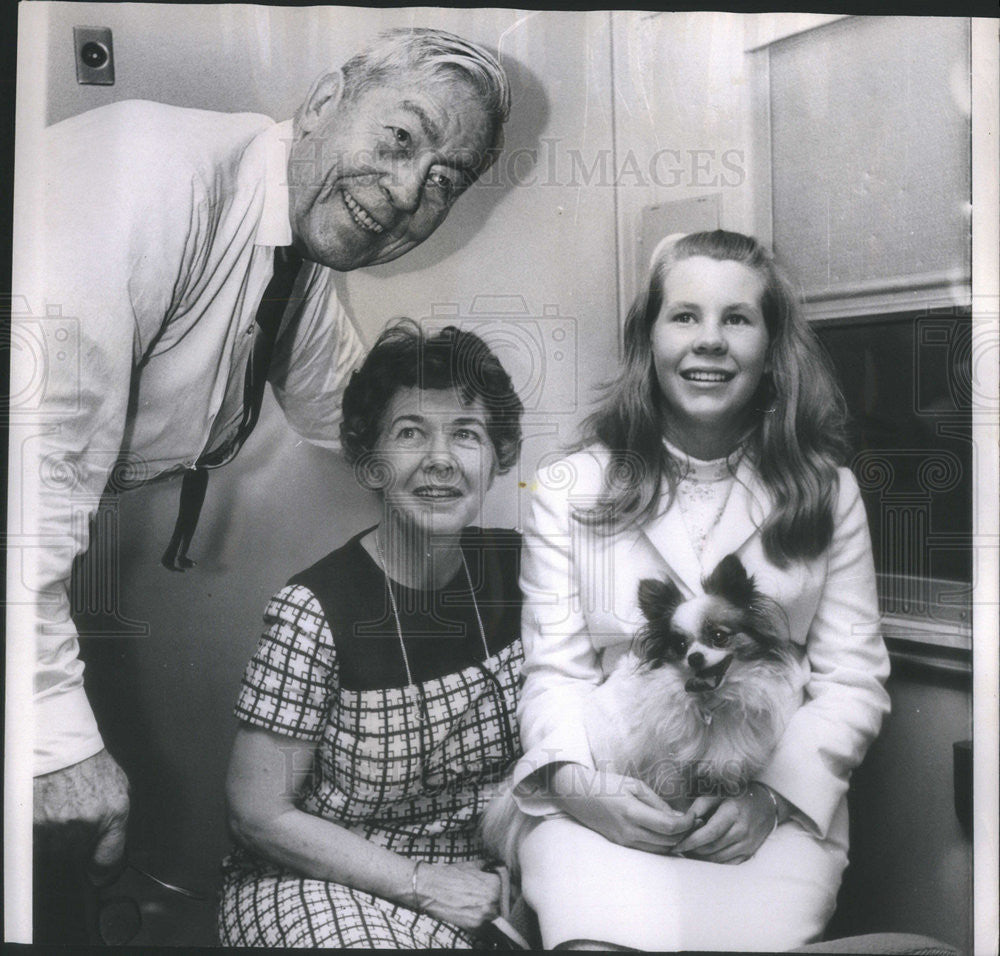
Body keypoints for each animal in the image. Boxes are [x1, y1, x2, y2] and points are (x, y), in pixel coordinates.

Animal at [482, 548, 804, 872]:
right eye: (681, 645)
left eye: (719, 636)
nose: (695, 657)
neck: (711, 704)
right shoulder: (669, 770)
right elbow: (680, 805)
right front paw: (682, 840)